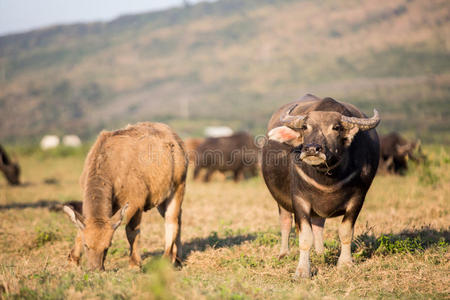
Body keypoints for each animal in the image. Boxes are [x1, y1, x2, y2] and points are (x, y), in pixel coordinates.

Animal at [62, 122, 186, 270]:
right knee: (178, 218)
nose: (95, 268)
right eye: (86, 246)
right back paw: (177, 258)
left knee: (172, 221)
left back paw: (167, 259)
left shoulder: (136, 203)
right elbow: (80, 230)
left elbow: (132, 232)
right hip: (162, 200)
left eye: (107, 246)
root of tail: (176, 140)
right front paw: (73, 260)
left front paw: (134, 264)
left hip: (178, 187)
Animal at [262, 94, 382, 278]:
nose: (312, 149)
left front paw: (345, 264)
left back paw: (320, 253)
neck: (327, 178)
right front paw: (302, 271)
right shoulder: (299, 200)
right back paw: (284, 254)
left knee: (318, 224)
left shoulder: (358, 199)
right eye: (305, 127)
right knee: (285, 222)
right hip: (280, 201)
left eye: (336, 127)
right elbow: (305, 236)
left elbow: (345, 232)